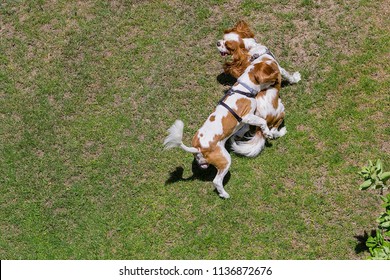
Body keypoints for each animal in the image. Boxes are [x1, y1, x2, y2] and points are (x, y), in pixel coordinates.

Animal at [163, 60, 278, 198]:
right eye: (271, 67)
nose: (278, 72)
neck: (244, 89)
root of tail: (198, 148)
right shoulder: (246, 116)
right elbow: (262, 121)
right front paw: (267, 132)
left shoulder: (245, 121)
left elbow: (244, 129)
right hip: (225, 160)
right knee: (216, 181)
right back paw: (224, 194)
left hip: (205, 162)